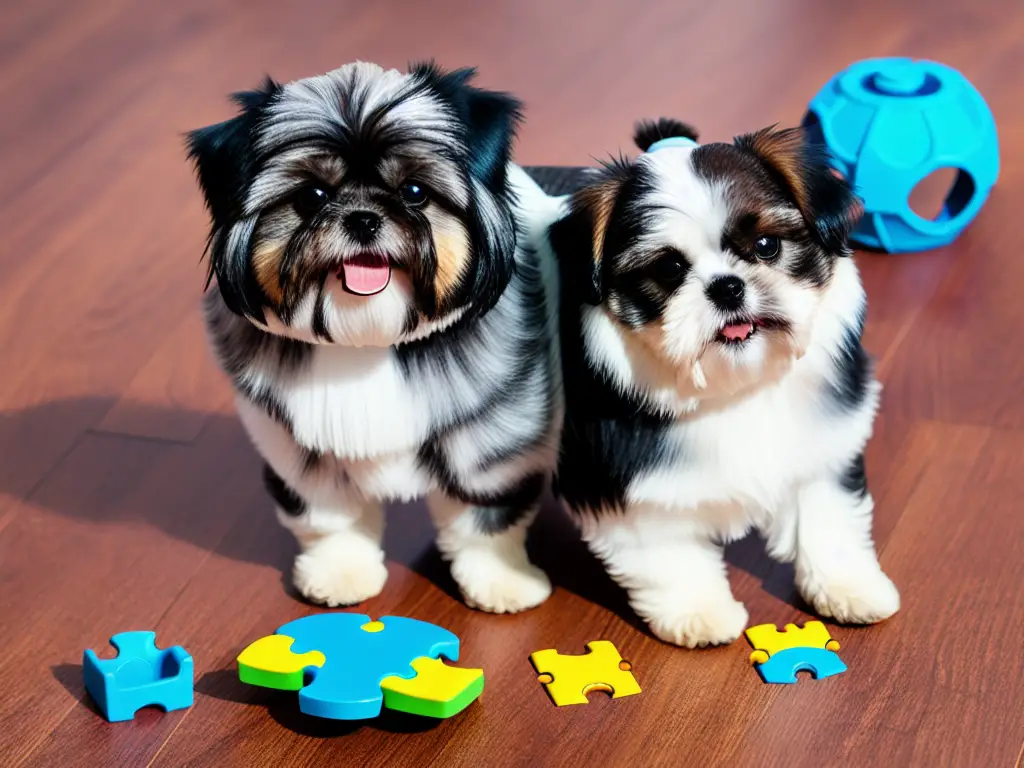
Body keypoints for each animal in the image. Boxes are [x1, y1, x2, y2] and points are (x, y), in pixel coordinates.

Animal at [188, 61, 565, 614]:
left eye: (414, 192)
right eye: (312, 196)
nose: (363, 219)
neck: (368, 339)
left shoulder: (492, 444)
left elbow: (484, 522)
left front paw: (502, 583)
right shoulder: (301, 454)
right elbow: (331, 522)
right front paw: (339, 575)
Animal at [548, 120, 901, 651]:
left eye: (766, 246)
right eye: (669, 269)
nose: (726, 286)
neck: (736, 387)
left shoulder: (825, 438)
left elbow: (829, 513)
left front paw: (847, 586)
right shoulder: (618, 476)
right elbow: (663, 549)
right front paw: (698, 611)